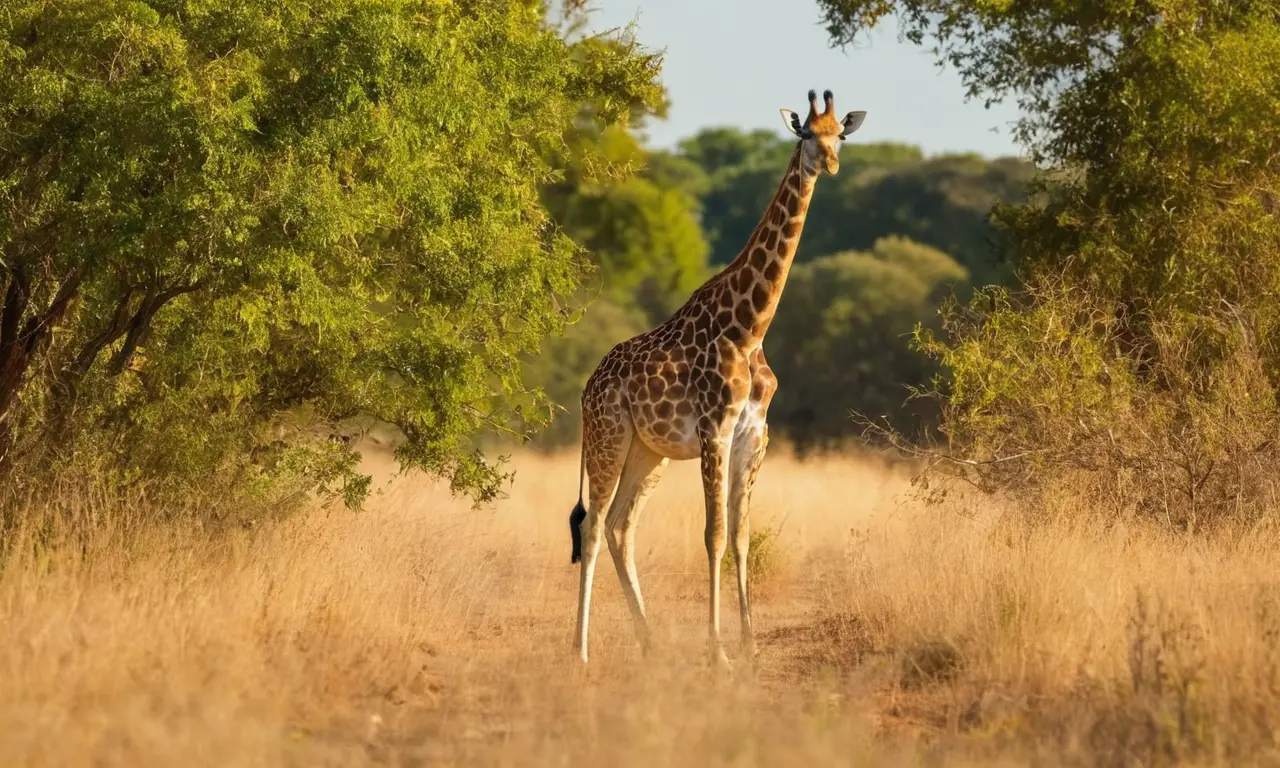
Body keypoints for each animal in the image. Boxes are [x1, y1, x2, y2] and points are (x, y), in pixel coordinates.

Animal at [567, 89, 866, 666]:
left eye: (839, 133)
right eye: (805, 133)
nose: (830, 164)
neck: (748, 328)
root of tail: (587, 388)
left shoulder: (755, 433)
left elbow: (742, 535)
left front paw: (750, 646)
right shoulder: (714, 430)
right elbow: (713, 535)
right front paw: (719, 652)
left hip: (649, 452)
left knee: (620, 526)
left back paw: (651, 643)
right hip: (609, 438)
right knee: (592, 526)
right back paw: (582, 652)